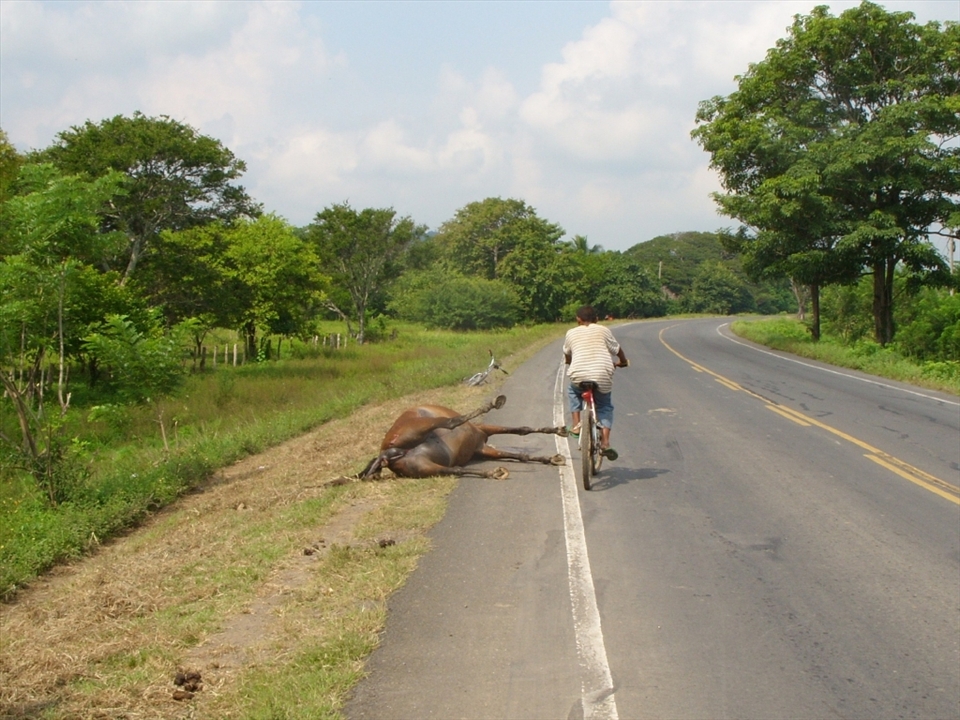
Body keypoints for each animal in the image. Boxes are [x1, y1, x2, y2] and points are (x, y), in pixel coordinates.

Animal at [359, 395, 567, 479]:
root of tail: (386, 453)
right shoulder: (482, 429)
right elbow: (521, 429)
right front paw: (558, 430)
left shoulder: (482, 446)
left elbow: (518, 451)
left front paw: (551, 458)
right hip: (420, 427)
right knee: (452, 422)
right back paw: (494, 403)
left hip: (423, 466)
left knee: (456, 470)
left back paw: (495, 472)